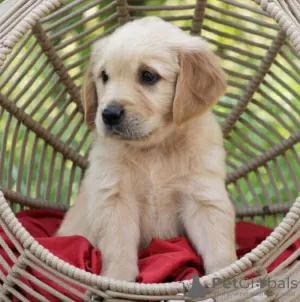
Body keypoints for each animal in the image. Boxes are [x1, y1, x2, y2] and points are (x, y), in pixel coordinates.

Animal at [57, 15, 237, 280]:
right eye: (104, 76)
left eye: (148, 75)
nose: (109, 114)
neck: (155, 149)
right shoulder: (115, 198)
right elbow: (119, 249)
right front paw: (118, 280)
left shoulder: (202, 197)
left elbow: (220, 248)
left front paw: (230, 279)